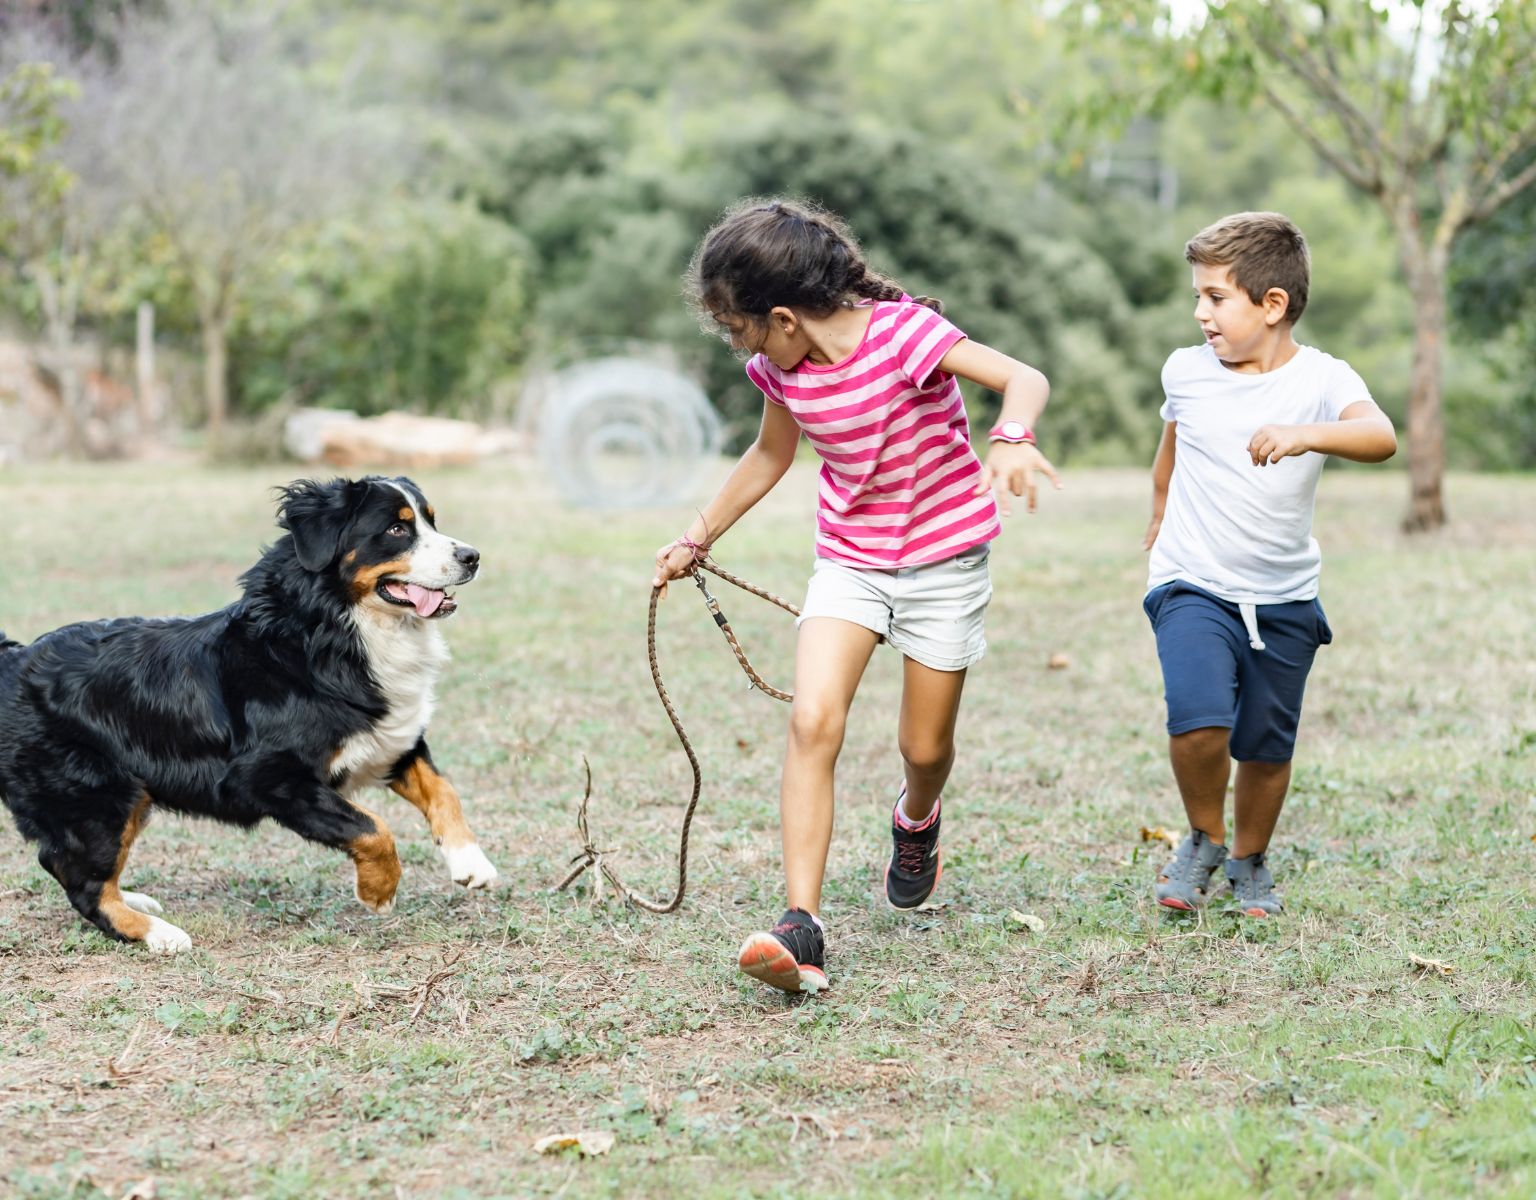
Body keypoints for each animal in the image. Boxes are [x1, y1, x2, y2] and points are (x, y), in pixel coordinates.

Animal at [0, 473, 494, 952]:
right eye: (396, 529)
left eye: (431, 520)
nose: (472, 556)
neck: (331, 633)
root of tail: (14, 660)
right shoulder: (268, 778)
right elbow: (373, 828)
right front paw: (378, 891)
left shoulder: (392, 741)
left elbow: (443, 791)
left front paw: (471, 861)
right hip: (97, 797)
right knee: (83, 883)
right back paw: (158, 933)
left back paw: (134, 900)